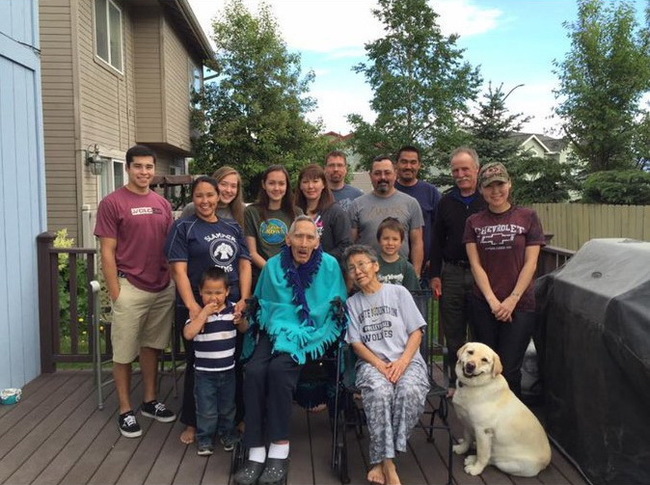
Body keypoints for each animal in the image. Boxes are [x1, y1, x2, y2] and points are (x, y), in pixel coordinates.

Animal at [454, 342, 548, 474]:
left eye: (484, 360)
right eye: (470, 352)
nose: (470, 365)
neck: (477, 385)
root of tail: (546, 462)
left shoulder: (483, 431)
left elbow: (482, 455)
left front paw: (476, 469)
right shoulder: (466, 421)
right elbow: (467, 438)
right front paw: (461, 448)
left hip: (508, 464)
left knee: (492, 459)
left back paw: (472, 459)